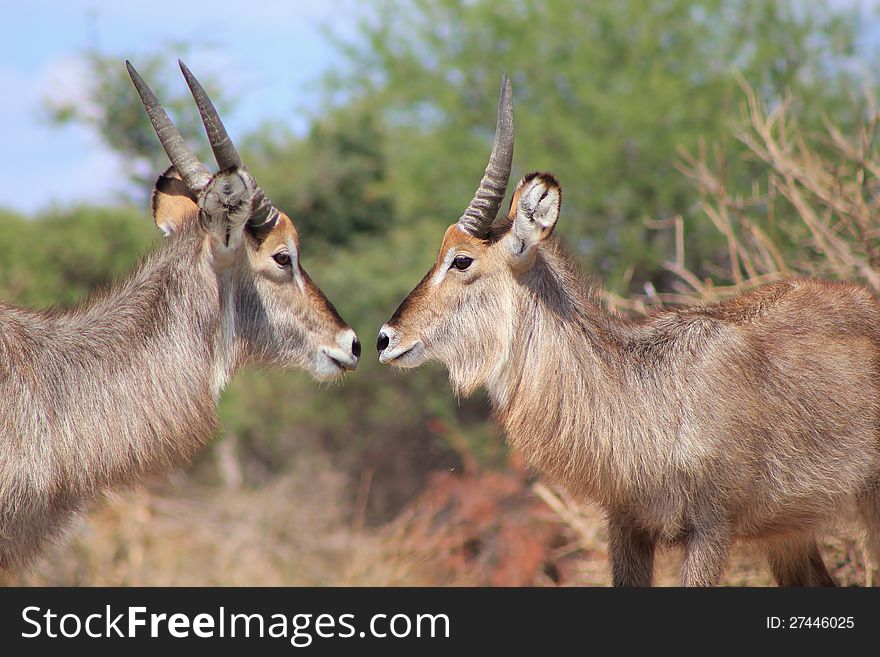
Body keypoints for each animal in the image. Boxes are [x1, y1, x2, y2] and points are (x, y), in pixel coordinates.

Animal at [376, 75, 880, 584]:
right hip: (787, 535)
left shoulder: (711, 530)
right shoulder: (626, 525)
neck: (645, 388)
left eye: (461, 260)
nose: (385, 338)